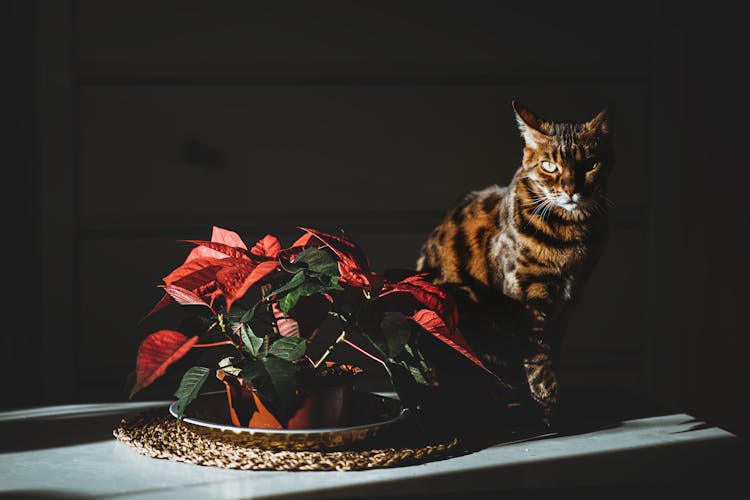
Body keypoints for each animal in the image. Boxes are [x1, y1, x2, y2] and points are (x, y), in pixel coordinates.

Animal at [418, 99, 616, 424]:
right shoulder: (527, 301)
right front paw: (549, 410)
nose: (571, 190)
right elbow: (537, 362)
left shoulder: (567, 305)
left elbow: (552, 354)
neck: (570, 237)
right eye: (549, 166)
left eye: (590, 165)